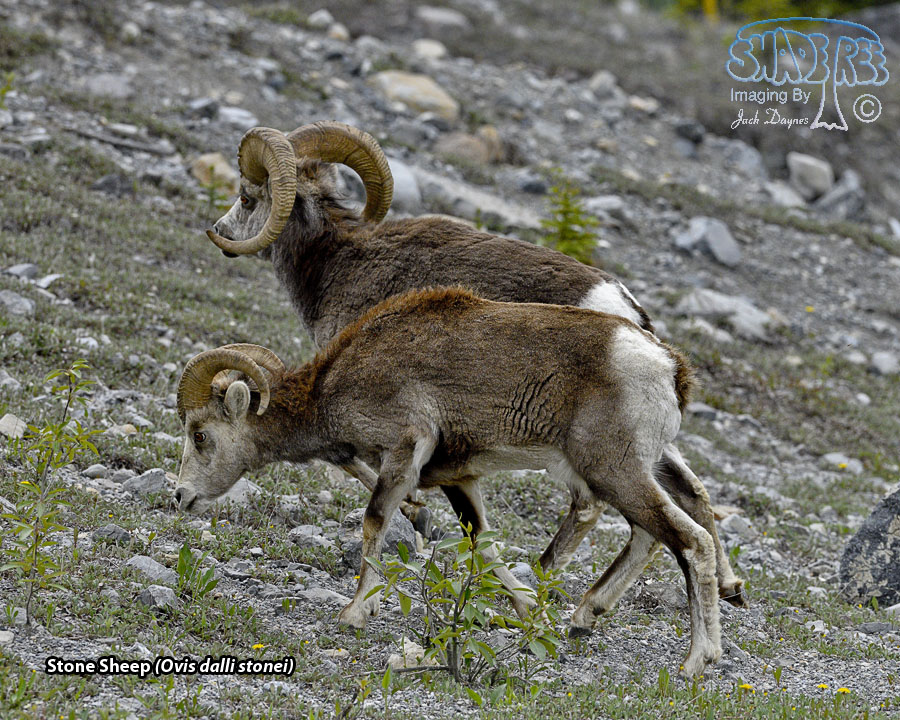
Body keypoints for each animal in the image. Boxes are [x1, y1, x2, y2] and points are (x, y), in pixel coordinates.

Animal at [174, 287, 722, 677]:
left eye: (200, 435)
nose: (180, 496)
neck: (338, 386)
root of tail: (669, 369)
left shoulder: (405, 448)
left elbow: (375, 521)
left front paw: (355, 614)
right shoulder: (461, 477)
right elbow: (484, 545)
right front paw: (528, 610)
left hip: (615, 472)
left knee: (690, 541)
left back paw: (696, 662)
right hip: (628, 474)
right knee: (650, 534)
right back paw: (587, 619)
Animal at [202, 123, 744, 608]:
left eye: (248, 197)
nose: (220, 235)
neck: (336, 261)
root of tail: (628, 315)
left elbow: (358, 465)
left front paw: (417, 517)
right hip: (636, 443)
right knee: (690, 491)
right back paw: (730, 588)